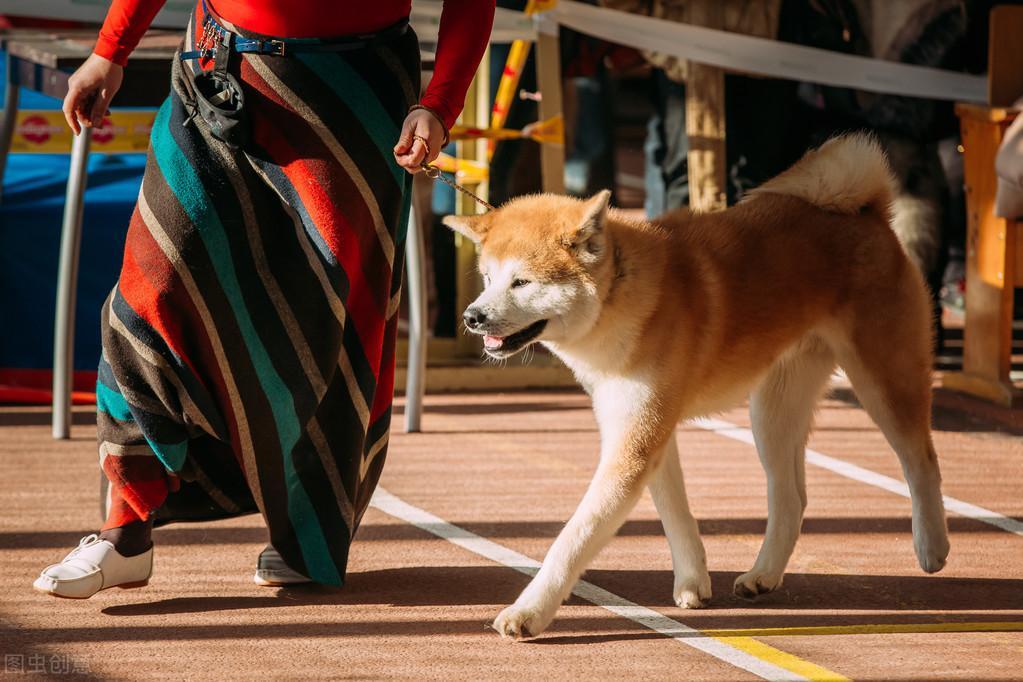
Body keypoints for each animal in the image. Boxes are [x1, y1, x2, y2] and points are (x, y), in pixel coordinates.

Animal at [443, 134, 945, 642]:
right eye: (488, 279)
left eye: (521, 282)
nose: (471, 316)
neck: (624, 295)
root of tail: (866, 211)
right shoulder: (642, 429)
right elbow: (675, 513)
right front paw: (692, 580)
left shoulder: (636, 443)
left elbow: (573, 539)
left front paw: (528, 611)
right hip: (773, 411)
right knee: (793, 498)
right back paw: (763, 575)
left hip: (883, 380)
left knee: (922, 461)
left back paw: (932, 546)